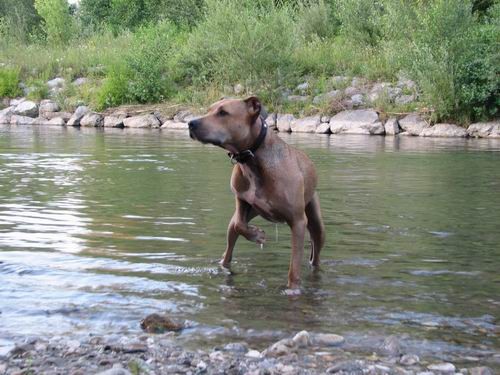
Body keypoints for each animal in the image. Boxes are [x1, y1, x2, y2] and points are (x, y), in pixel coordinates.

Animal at [189, 96, 326, 290]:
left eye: (223, 112)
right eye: (208, 110)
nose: (191, 123)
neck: (251, 159)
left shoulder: (298, 222)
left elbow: (294, 268)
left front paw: (292, 289)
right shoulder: (241, 201)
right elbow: (239, 224)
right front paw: (256, 235)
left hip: (316, 222)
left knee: (316, 256)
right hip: (241, 221)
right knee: (229, 248)